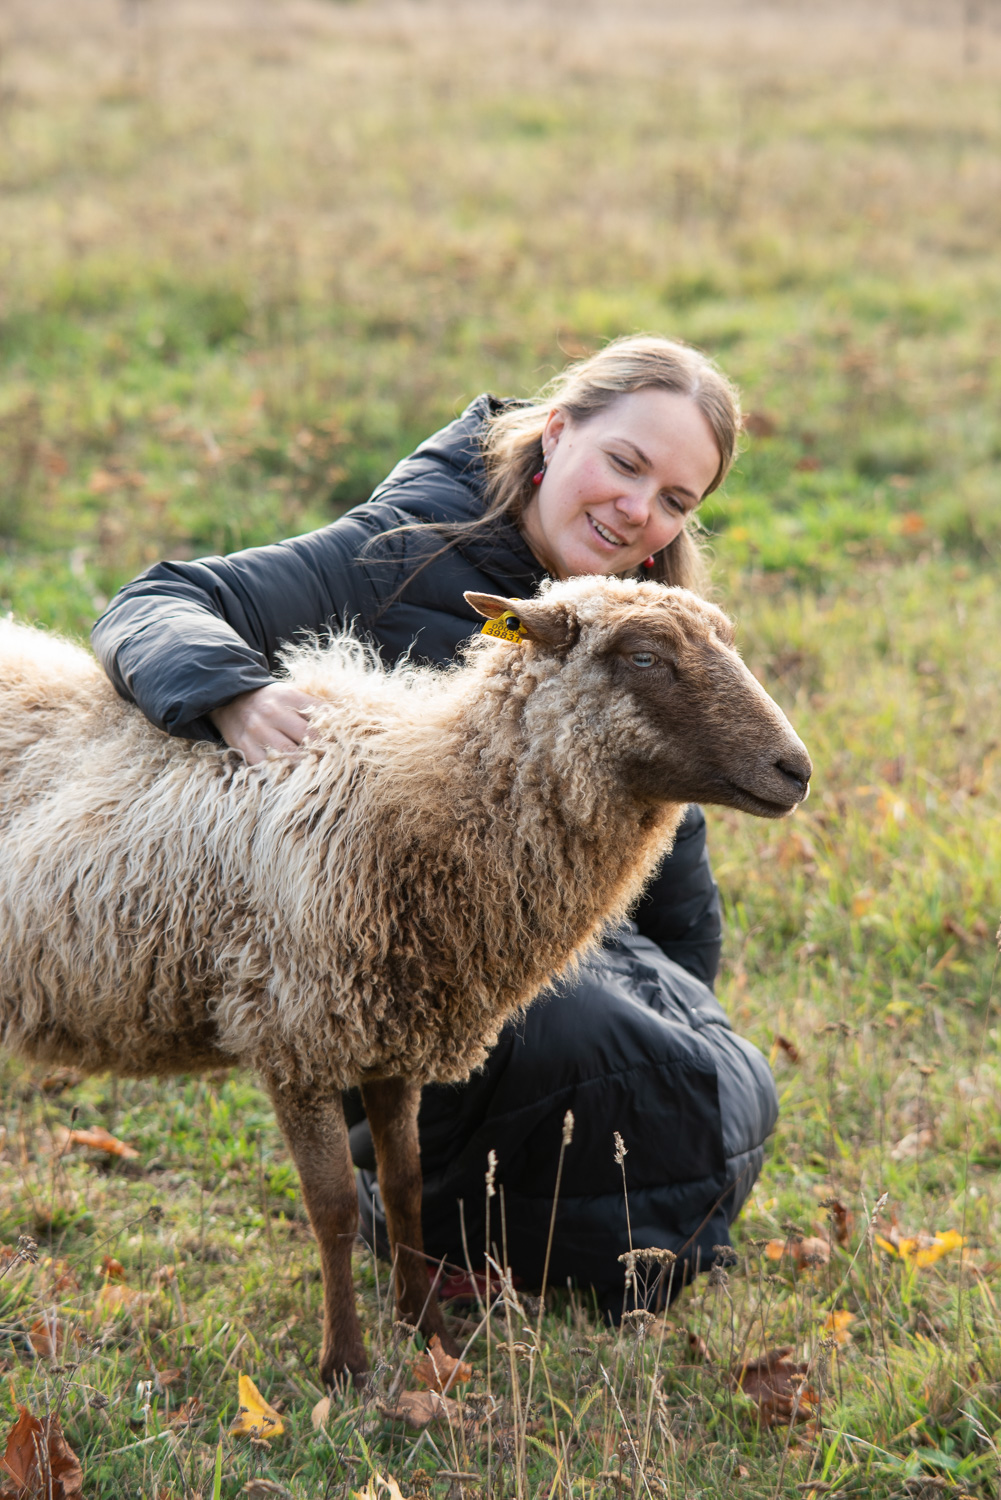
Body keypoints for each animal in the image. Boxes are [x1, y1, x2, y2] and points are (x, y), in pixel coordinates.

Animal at [0, 573, 816, 1380]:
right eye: (643, 656)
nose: (796, 770)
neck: (414, 795)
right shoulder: (294, 1033)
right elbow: (332, 1207)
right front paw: (345, 1366)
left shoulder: (392, 1030)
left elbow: (404, 1189)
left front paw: (428, 1334)